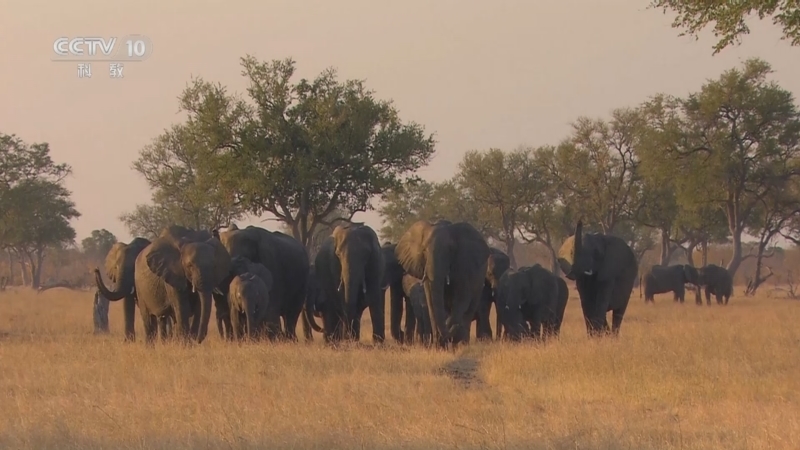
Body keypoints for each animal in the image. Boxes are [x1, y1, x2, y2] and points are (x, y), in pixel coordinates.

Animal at [395, 220, 490, 348]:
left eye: (450, 251)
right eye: (424, 251)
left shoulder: (464, 265)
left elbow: (461, 299)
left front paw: (452, 337)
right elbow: (431, 302)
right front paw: (439, 345)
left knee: (469, 308)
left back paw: (462, 342)